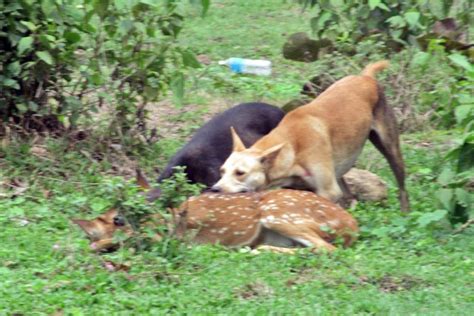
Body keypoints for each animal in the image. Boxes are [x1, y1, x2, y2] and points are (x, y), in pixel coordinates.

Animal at [211, 60, 408, 211]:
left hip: (391, 149)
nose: (215, 190)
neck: (292, 146)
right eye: (222, 171)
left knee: (402, 188)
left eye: (240, 173)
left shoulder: (328, 192)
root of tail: (366, 77)